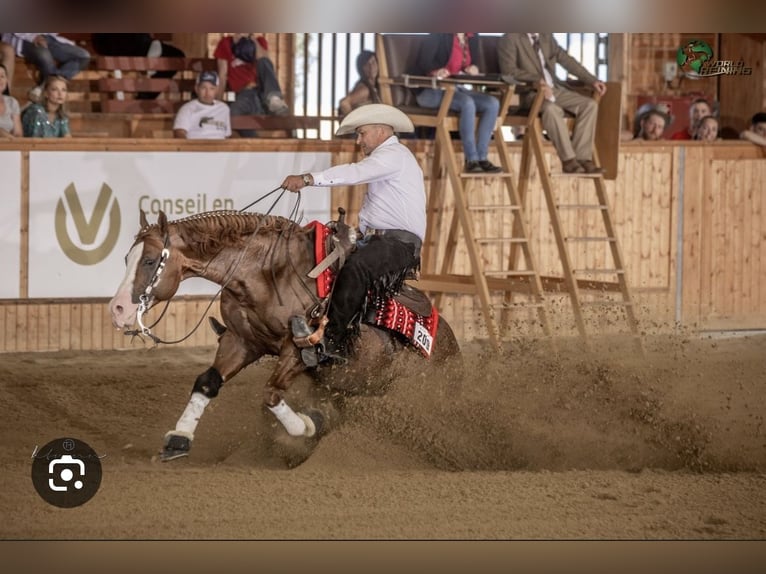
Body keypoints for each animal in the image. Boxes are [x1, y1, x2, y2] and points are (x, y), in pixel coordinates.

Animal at [108, 209, 462, 466]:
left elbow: (271, 394)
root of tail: (448, 340)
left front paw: (306, 426)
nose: (118, 309)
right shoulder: (241, 341)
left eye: (150, 260)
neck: (268, 274)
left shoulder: (297, 350)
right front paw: (178, 439)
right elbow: (207, 382)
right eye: (126, 259)